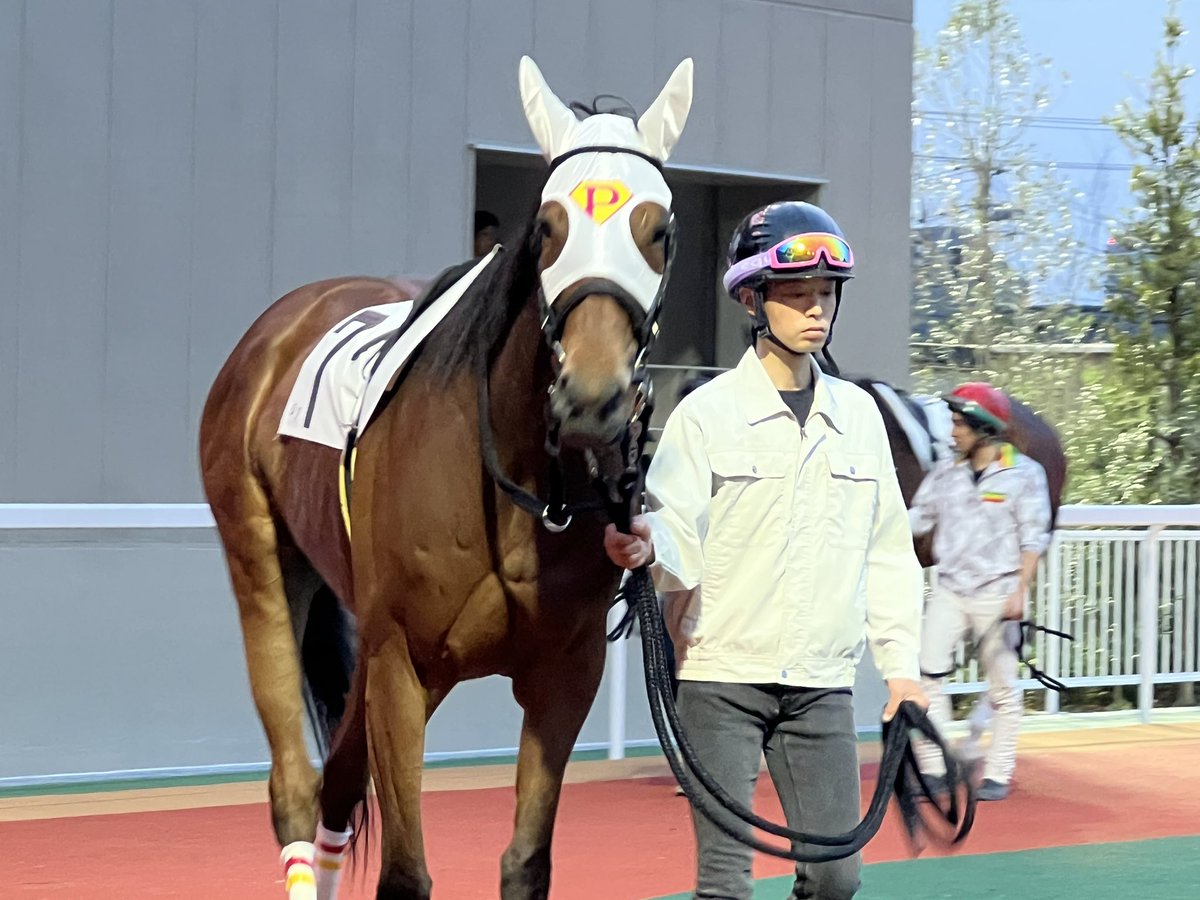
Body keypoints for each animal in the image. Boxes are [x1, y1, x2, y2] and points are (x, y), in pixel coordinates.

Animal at [199, 56, 694, 900]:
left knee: (337, 784)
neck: (520, 490)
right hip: (261, 562)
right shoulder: (401, 661)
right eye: (548, 227)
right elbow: (405, 872)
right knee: (297, 786)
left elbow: (526, 862)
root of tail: (277, 329)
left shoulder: (566, 673)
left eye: (658, 230)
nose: (591, 398)